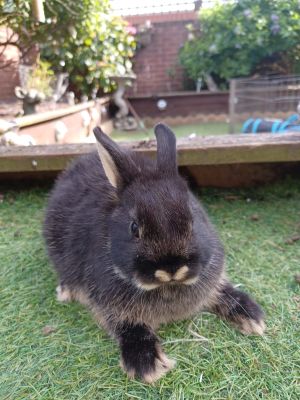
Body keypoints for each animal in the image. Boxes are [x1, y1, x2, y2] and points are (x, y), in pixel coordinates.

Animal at [44, 123, 264, 382]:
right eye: (134, 228)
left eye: (193, 218)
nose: (171, 268)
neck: (168, 288)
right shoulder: (113, 310)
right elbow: (130, 328)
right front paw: (148, 366)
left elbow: (224, 292)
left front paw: (253, 318)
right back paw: (65, 291)